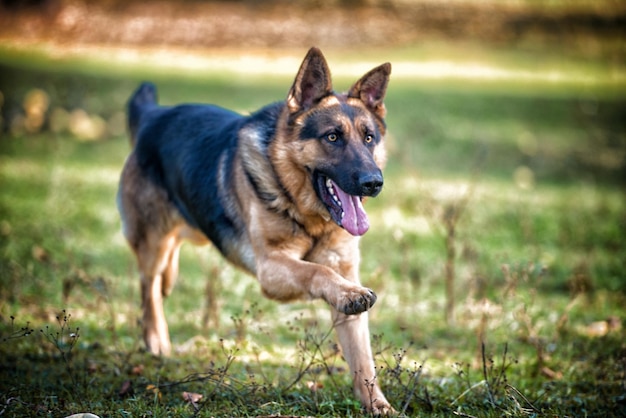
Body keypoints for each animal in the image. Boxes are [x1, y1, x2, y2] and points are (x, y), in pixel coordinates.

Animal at [117, 47, 390, 414]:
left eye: (369, 138)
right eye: (332, 137)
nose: (373, 183)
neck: (306, 214)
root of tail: (152, 116)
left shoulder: (345, 275)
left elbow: (363, 360)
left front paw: (378, 405)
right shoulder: (271, 269)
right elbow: (316, 271)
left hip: (194, 228)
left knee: (169, 261)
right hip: (152, 242)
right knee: (149, 284)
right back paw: (156, 337)